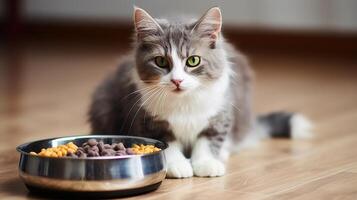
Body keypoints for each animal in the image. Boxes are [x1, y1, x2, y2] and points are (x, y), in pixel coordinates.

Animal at [87, 6, 310, 178]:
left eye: (193, 61)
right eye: (161, 61)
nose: (177, 80)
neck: (184, 103)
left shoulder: (219, 114)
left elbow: (207, 141)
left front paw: (206, 164)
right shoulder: (149, 119)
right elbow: (168, 144)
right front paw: (177, 166)